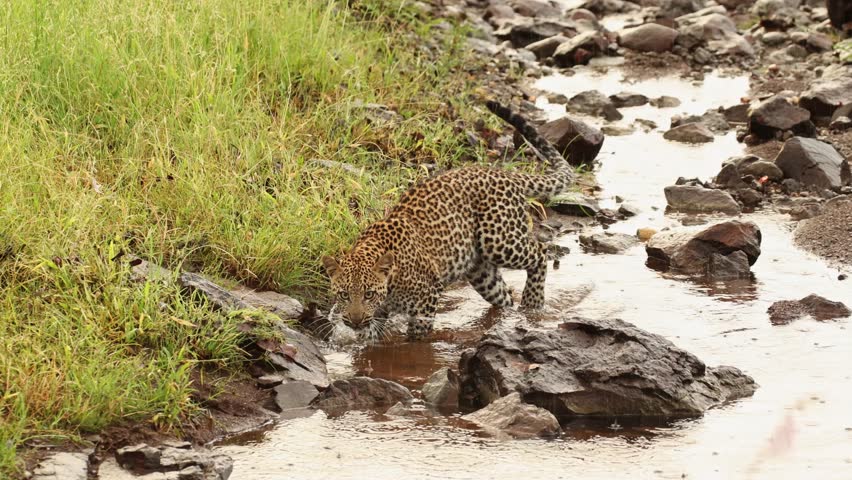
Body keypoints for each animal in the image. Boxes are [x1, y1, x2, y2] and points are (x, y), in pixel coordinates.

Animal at [322, 100, 574, 341]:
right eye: (344, 294)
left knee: (540, 252)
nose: (354, 321)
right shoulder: (378, 314)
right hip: (481, 270)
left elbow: (416, 336)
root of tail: (504, 174)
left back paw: (532, 304)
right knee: (504, 295)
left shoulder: (427, 298)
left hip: (500, 241)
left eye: (368, 294)